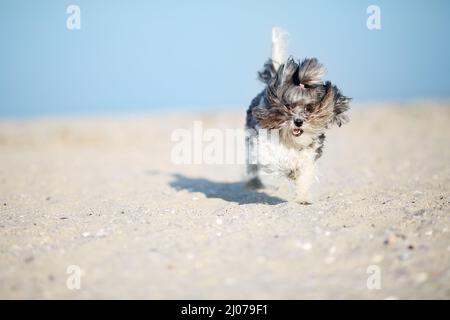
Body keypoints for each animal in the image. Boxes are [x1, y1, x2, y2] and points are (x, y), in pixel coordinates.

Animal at [244, 26, 350, 204]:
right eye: (289, 106)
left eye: (309, 107)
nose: (299, 122)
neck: (290, 140)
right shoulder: (265, 145)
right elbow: (278, 157)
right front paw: (290, 169)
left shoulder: (310, 151)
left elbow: (305, 172)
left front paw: (302, 197)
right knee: (252, 165)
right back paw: (254, 183)